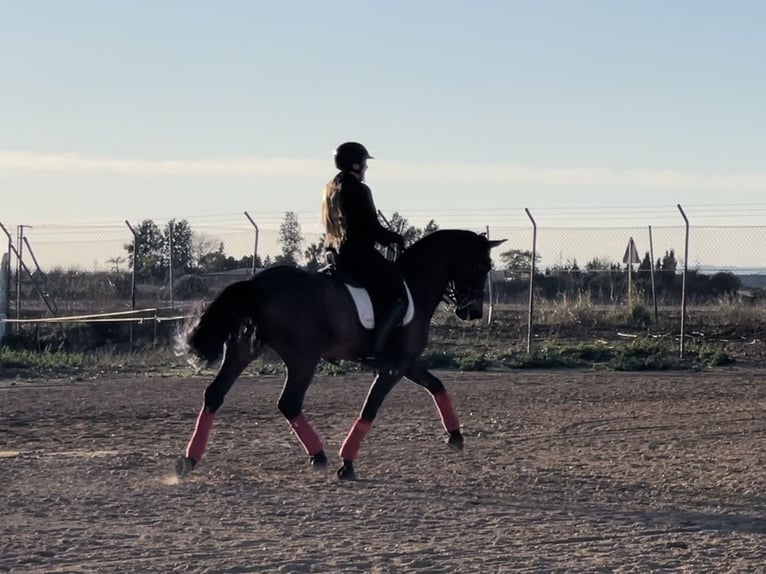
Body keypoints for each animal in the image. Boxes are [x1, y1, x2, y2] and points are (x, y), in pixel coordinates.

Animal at [177, 230, 508, 482]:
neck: (413, 285)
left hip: (243, 351)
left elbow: (437, 385)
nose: (472, 312)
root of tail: (258, 283)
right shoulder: (394, 368)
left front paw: (455, 436)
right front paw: (347, 464)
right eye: (482, 266)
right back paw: (319, 455)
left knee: (215, 394)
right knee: (288, 403)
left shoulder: (407, 363)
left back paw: (188, 461)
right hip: (303, 358)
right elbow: (370, 410)